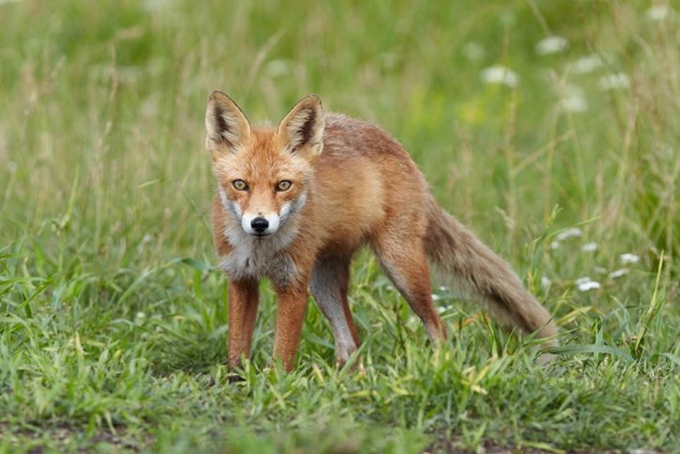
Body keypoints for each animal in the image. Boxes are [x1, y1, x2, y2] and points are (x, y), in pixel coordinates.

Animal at [203, 92, 556, 372]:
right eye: (240, 185)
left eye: (283, 185)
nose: (259, 223)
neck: (261, 250)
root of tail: (398, 148)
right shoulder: (240, 278)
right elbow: (236, 348)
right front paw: (236, 384)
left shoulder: (293, 284)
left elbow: (282, 353)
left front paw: (276, 384)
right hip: (324, 284)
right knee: (352, 342)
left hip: (400, 268)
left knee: (438, 326)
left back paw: (437, 370)